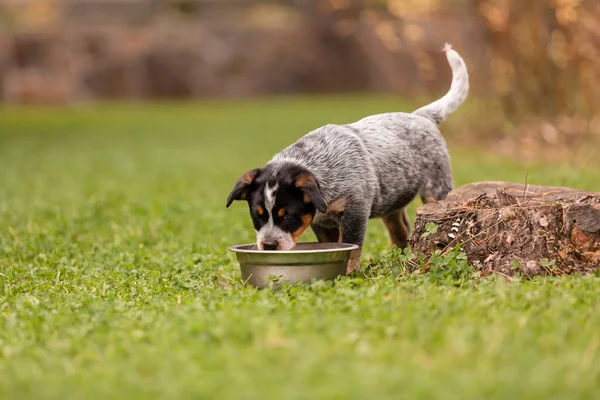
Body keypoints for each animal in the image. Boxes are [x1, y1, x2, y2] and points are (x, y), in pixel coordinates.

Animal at [225, 44, 468, 276]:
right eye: (257, 216)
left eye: (288, 217)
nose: (268, 245)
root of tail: (420, 116)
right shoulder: (320, 223)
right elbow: (330, 244)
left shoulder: (355, 211)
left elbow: (351, 246)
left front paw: (349, 272)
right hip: (393, 198)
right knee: (400, 231)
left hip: (436, 189)